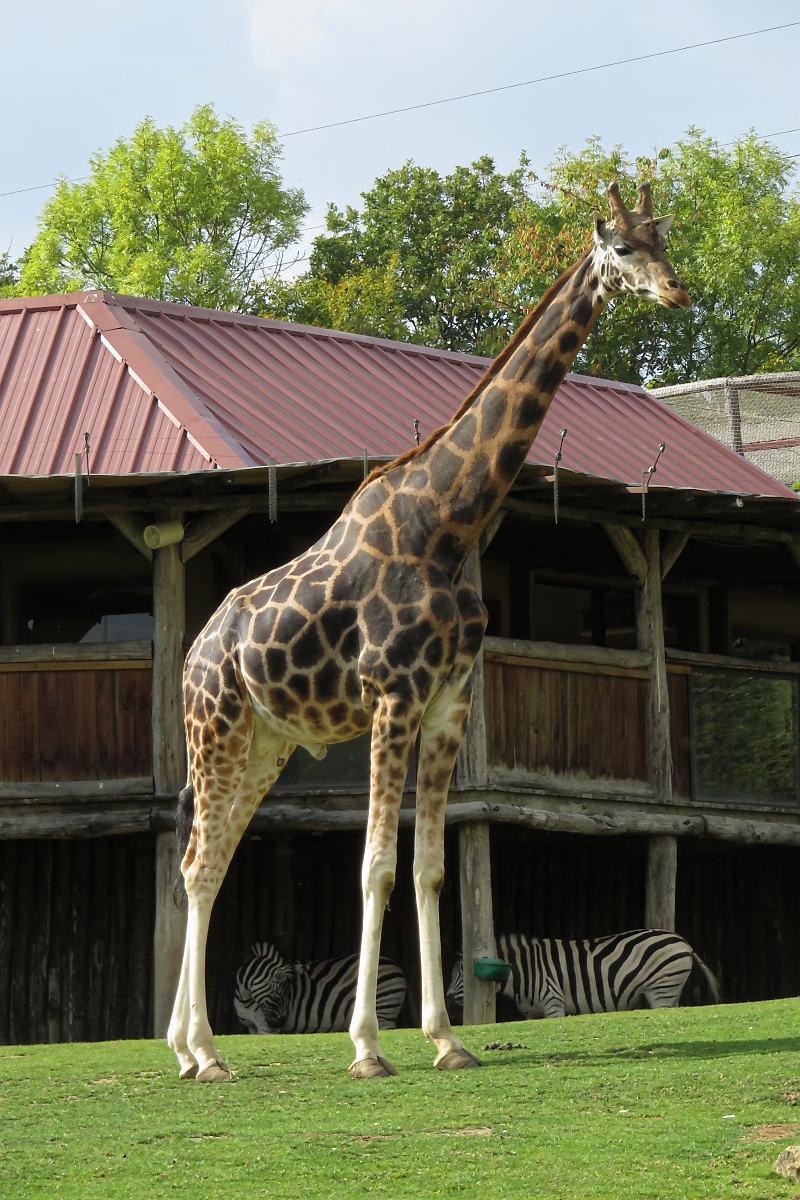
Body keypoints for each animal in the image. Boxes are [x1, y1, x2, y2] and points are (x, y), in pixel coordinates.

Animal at [231, 940, 407, 1036]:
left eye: (285, 995)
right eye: (278, 994)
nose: (281, 1023)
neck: (245, 998)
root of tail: (394, 965)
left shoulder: (265, 1028)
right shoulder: (252, 1028)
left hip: (383, 1011)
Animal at [448, 926, 724, 1022]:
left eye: (464, 975)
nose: (448, 1003)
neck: (524, 971)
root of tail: (683, 942)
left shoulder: (553, 1003)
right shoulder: (531, 1014)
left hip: (661, 991)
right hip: (670, 991)